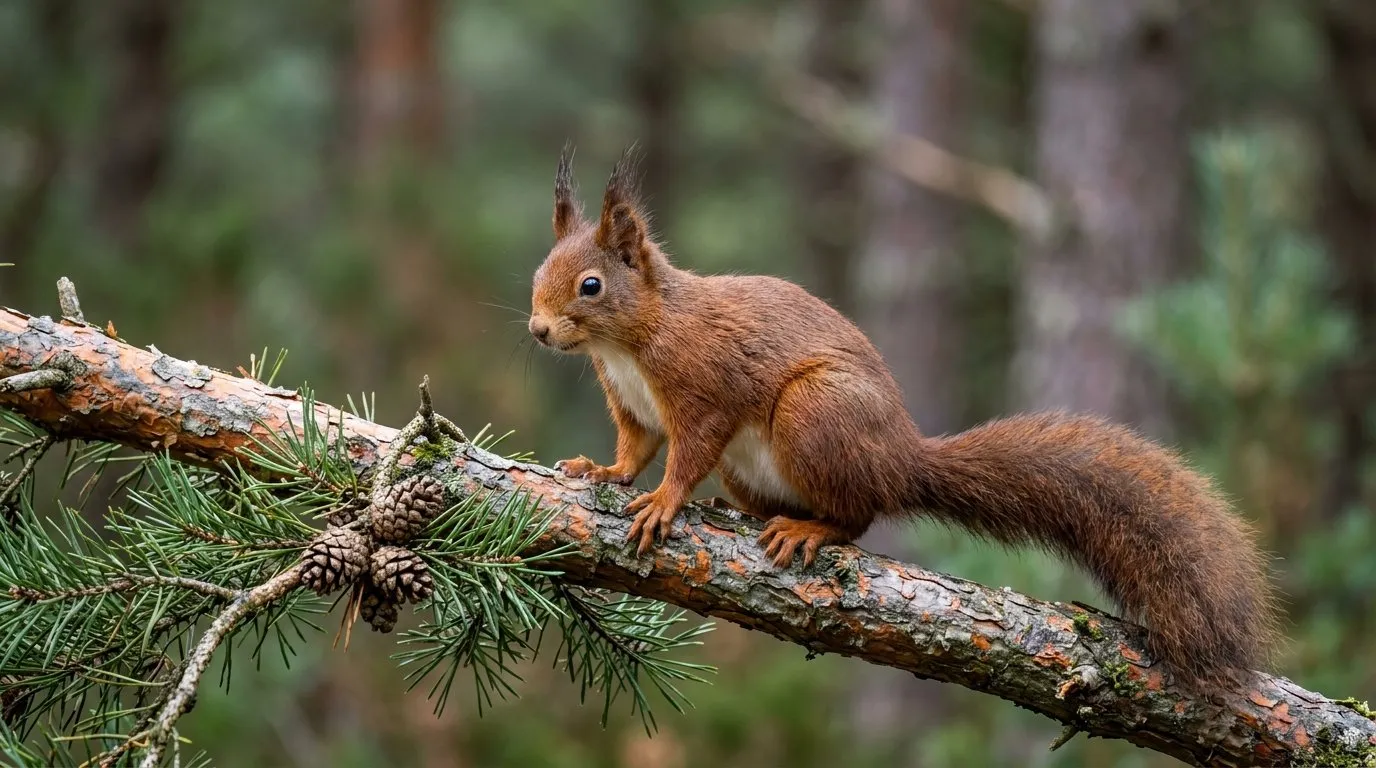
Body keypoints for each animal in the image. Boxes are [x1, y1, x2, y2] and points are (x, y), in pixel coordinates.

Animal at [527, 145, 1279, 687]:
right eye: (538, 274)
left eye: (591, 286)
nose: (537, 331)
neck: (630, 342)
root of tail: (903, 459)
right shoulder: (631, 403)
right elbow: (636, 447)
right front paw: (603, 470)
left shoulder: (704, 388)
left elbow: (688, 452)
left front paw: (664, 501)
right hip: (761, 463)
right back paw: (748, 512)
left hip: (813, 415)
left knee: (859, 514)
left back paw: (808, 529)